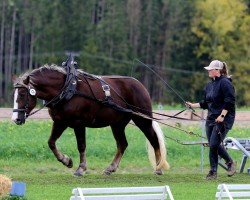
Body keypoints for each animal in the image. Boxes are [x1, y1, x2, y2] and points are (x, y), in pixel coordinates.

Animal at [10, 63, 169, 176]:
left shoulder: (79, 123)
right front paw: (66, 161)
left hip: (142, 120)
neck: (66, 88)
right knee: (122, 144)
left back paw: (158, 168)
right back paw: (111, 168)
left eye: (23, 94)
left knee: (153, 140)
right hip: (117, 124)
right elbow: (51, 142)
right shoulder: (60, 122)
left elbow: (81, 146)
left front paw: (81, 168)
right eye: (15, 94)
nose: (16, 119)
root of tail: (140, 85)